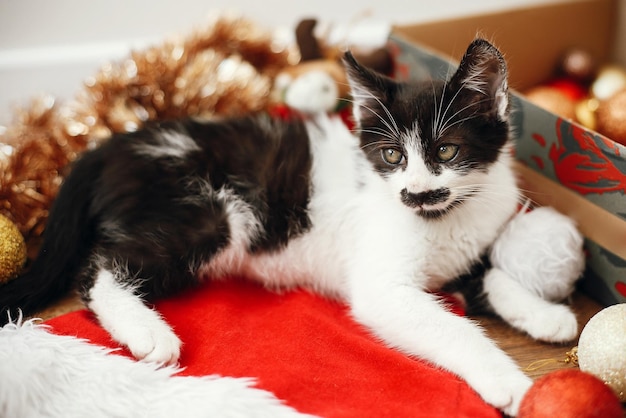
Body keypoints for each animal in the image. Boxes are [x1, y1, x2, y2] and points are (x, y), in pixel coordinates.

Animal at [1, 39, 564, 414]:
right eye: (392, 155)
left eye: (446, 151)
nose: (413, 191)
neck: (446, 216)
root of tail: (113, 144)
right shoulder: (382, 286)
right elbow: (451, 326)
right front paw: (509, 381)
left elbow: (489, 274)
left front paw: (545, 314)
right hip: (213, 214)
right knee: (98, 267)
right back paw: (147, 331)